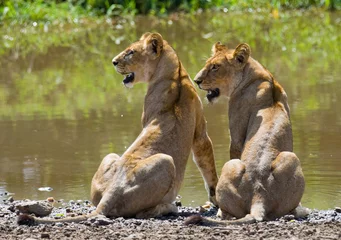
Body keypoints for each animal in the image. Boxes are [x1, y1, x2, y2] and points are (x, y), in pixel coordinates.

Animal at [17, 32, 218, 225]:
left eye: (131, 52)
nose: (113, 62)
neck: (176, 74)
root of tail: (110, 194)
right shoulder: (199, 134)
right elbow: (207, 165)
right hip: (166, 160)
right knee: (143, 213)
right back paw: (169, 207)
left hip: (111, 157)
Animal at [185, 42, 310, 226]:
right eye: (208, 64)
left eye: (215, 67)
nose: (197, 81)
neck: (262, 76)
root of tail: (259, 195)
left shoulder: (236, 136)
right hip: (289, 157)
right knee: (288, 210)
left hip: (231, 165)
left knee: (229, 213)